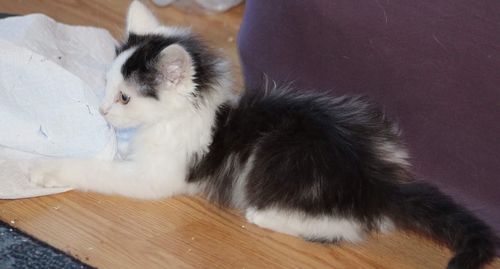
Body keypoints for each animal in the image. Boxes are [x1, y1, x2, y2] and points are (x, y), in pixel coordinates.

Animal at [31, 1, 496, 266]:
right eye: (107, 85)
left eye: (125, 98)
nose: (102, 110)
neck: (182, 115)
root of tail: (376, 182)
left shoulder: (156, 176)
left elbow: (97, 170)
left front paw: (46, 170)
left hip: (276, 161)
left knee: (344, 227)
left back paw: (264, 215)